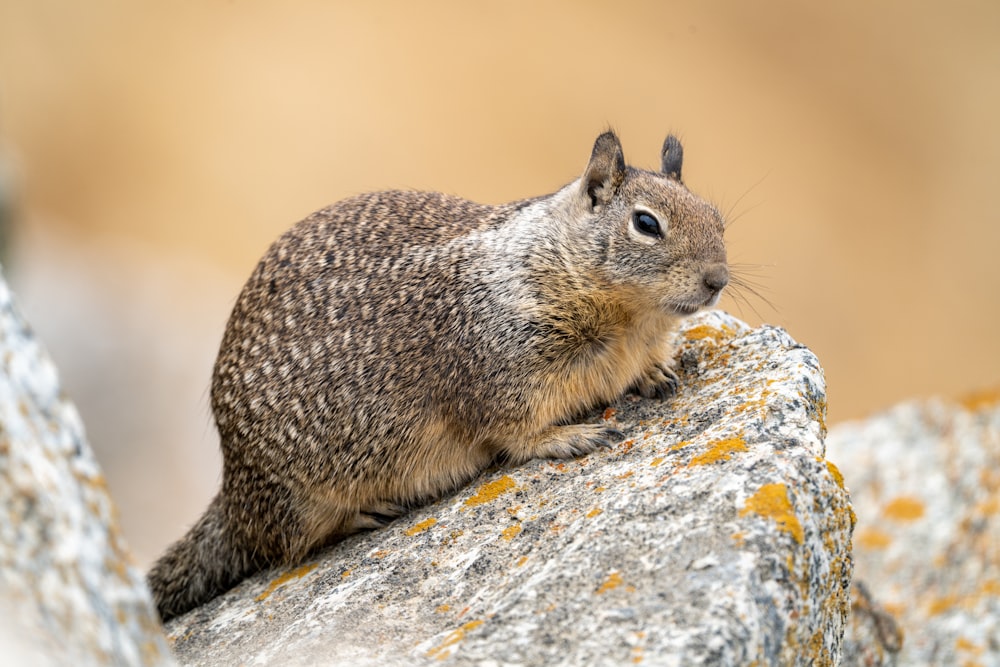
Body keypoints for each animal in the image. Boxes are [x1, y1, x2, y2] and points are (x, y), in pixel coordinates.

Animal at [146, 129, 728, 620]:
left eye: (717, 216)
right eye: (646, 224)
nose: (718, 279)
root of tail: (231, 491)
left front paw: (659, 372)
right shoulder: (502, 373)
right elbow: (516, 433)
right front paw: (568, 437)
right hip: (297, 500)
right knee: (285, 547)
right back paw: (364, 513)